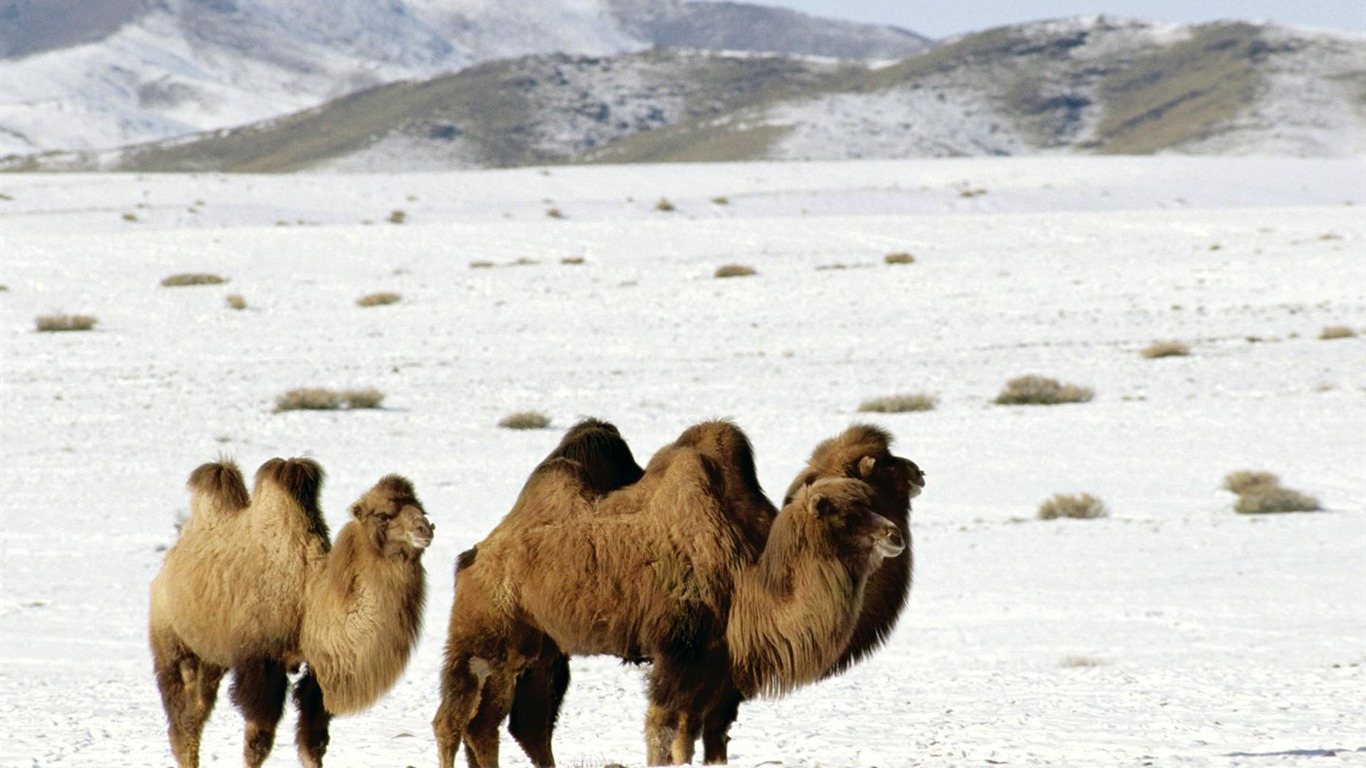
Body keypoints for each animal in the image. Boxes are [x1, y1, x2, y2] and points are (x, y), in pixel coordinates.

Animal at [148, 456, 431, 759]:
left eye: (421, 509)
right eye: (382, 515)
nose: (426, 529)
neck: (308, 600)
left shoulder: (319, 668)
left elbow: (313, 741)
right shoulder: (261, 662)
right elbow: (258, 742)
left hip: (211, 655)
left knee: (196, 711)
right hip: (170, 640)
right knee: (183, 719)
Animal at [431, 420, 901, 759]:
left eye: (869, 501)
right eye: (845, 512)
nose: (894, 534)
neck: (745, 581)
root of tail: (474, 555)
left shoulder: (714, 664)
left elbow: (693, 737)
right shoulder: (679, 651)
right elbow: (663, 730)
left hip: (537, 650)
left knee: (507, 726)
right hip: (482, 634)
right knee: (453, 722)